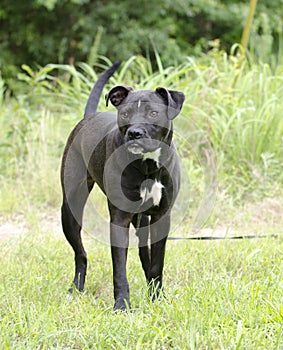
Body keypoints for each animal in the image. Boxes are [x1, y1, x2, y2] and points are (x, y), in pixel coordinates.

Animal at [61, 61, 185, 310]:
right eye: (125, 114)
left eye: (153, 113)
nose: (134, 132)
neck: (147, 166)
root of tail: (89, 116)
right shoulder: (119, 220)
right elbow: (119, 269)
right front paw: (121, 305)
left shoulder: (161, 218)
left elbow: (157, 263)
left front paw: (158, 298)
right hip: (70, 209)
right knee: (81, 254)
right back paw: (76, 288)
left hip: (142, 221)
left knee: (145, 256)